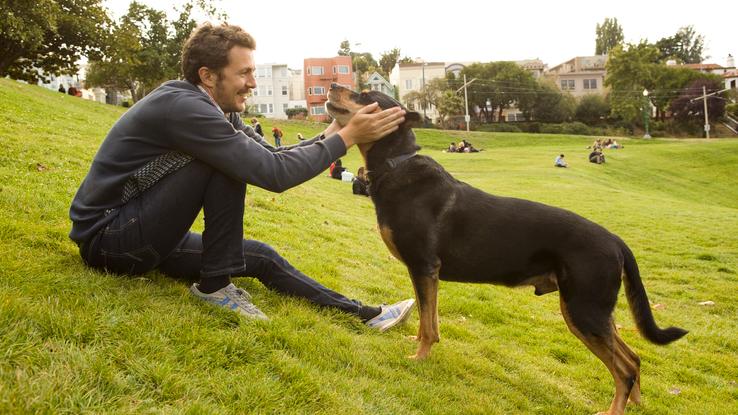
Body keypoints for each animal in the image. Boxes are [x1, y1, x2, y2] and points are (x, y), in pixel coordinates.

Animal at [324, 83, 688, 415]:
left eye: (366, 95)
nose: (331, 85)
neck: (395, 163)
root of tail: (616, 240)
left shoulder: (423, 267)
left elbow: (427, 325)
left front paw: (418, 359)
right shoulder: (428, 274)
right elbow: (432, 321)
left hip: (583, 310)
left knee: (623, 368)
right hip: (594, 311)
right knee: (634, 359)